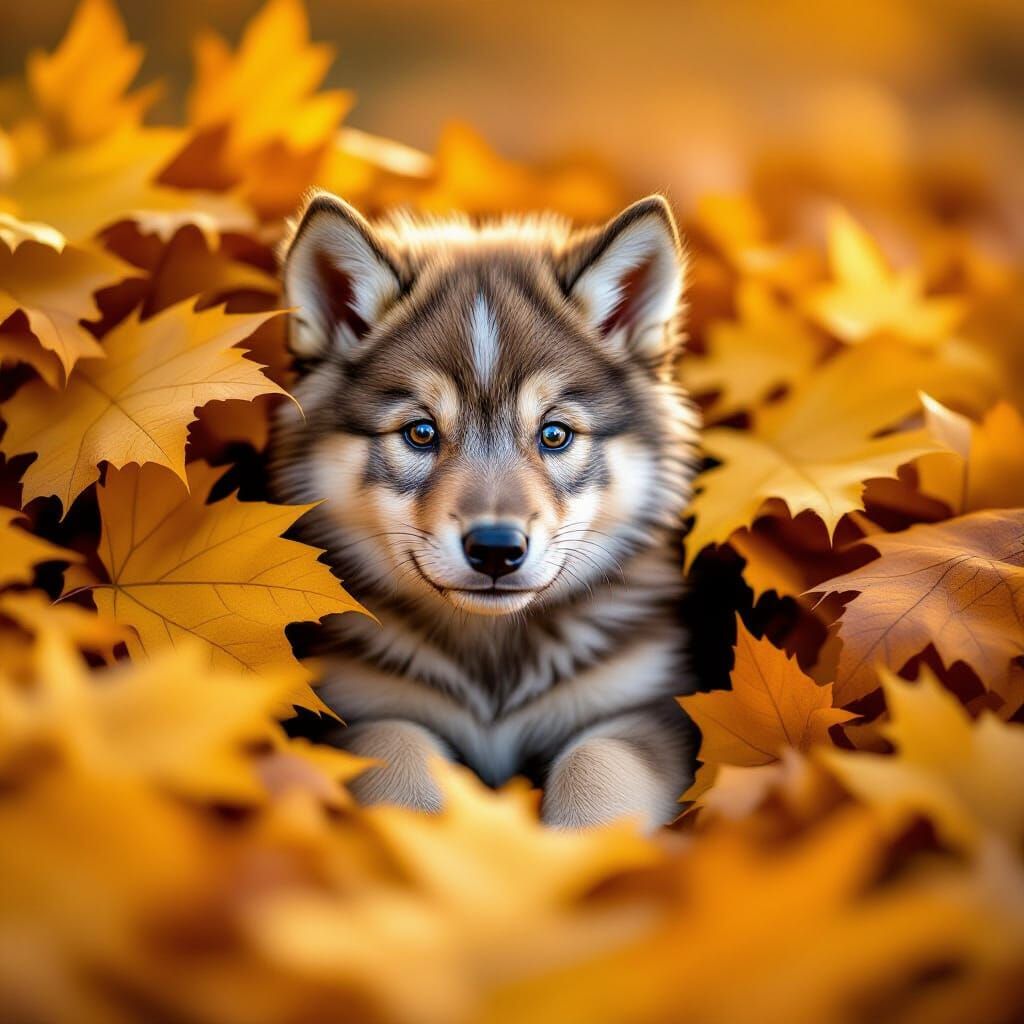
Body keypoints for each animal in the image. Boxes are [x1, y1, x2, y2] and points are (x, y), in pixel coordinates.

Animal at [269, 190, 701, 830]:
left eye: (554, 434)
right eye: (421, 432)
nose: (496, 549)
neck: (491, 658)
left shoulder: (649, 708)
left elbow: (602, 762)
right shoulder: (356, 705)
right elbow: (394, 750)